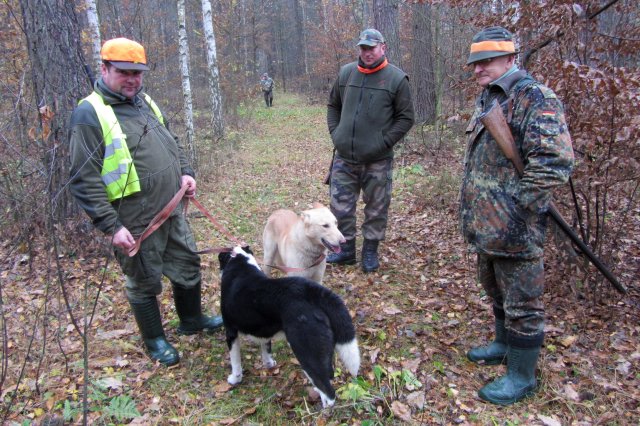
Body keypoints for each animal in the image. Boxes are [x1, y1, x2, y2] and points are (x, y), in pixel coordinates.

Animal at [219, 246, 360, 406]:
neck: (240, 262)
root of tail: (311, 291)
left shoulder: (231, 331)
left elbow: (235, 361)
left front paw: (235, 379)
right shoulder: (264, 331)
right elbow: (266, 350)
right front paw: (269, 364)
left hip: (307, 354)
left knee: (328, 391)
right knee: (328, 375)